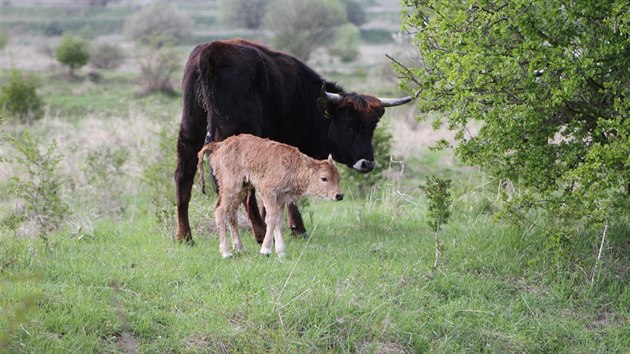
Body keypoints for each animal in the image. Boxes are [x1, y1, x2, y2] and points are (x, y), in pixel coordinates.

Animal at [177, 38, 414, 243]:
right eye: (350, 125)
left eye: (372, 127)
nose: (368, 163)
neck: (304, 98)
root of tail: (213, 50)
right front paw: (296, 227)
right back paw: (260, 233)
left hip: (191, 128)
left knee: (183, 175)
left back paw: (184, 235)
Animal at [199, 134, 344, 258]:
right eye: (324, 178)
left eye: (338, 178)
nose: (339, 195)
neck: (293, 167)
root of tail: (218, 145)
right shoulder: (268, 192)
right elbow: (271, 218)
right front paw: (265, 250)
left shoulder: (281, 199)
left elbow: (279, 222)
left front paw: (281, 252)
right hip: (230, 187)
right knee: (220, 210)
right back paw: (226, 253)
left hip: (242, 189)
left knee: (231, 213)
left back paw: (239, 248)